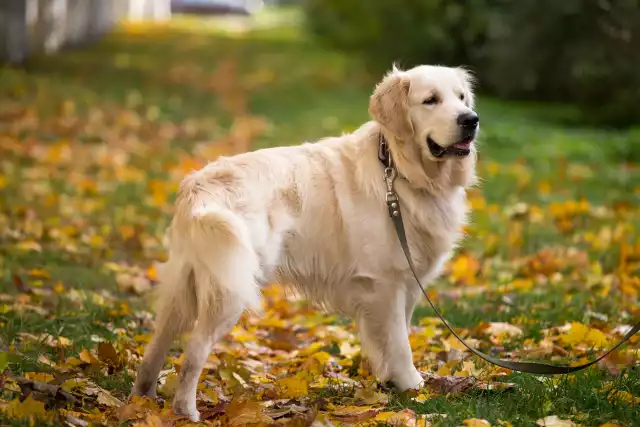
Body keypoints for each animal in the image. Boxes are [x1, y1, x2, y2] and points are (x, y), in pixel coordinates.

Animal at [131, 63, 480, 422]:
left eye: (461, 97)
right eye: (431, 100)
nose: (471, 119)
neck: (398, 169)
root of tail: (198, 186)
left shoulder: (405, 283)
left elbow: (393, 338)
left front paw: (390, 381)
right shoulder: (386, 284)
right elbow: (399, 342)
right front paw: (412, 386)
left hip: (184, 286)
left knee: (156, 346)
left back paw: (142, 401)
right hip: (229, 288)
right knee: (194, 352)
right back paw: (185, 411)